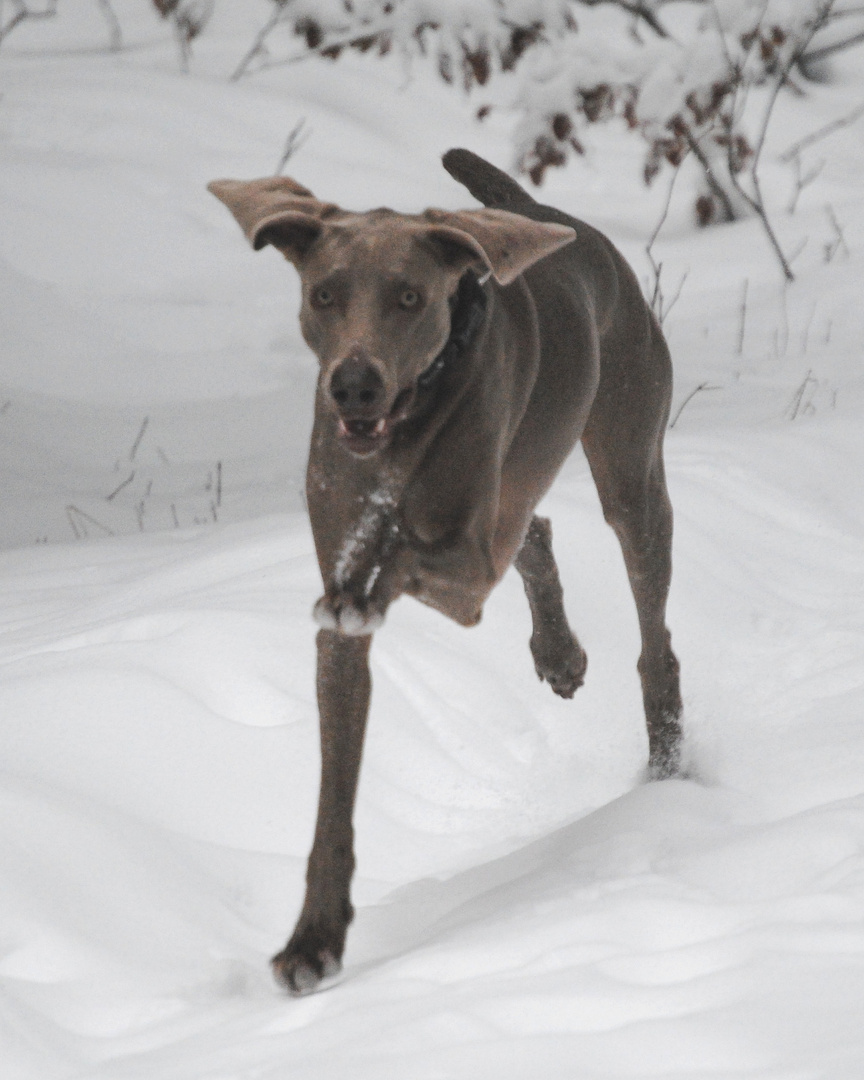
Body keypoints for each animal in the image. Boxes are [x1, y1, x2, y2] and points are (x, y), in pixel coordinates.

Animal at [207, 150, 682, 993]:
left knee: (651, 635)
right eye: (324, 294)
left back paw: (665, 759)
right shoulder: (345, 627)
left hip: (632, 468)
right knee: (537, 529)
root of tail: (542, 211)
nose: (354, 386)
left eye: (409, 297)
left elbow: (402, 555)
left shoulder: (464, 568)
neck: (404, 429)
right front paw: (315, 939)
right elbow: (333, 795)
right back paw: (558, 655)